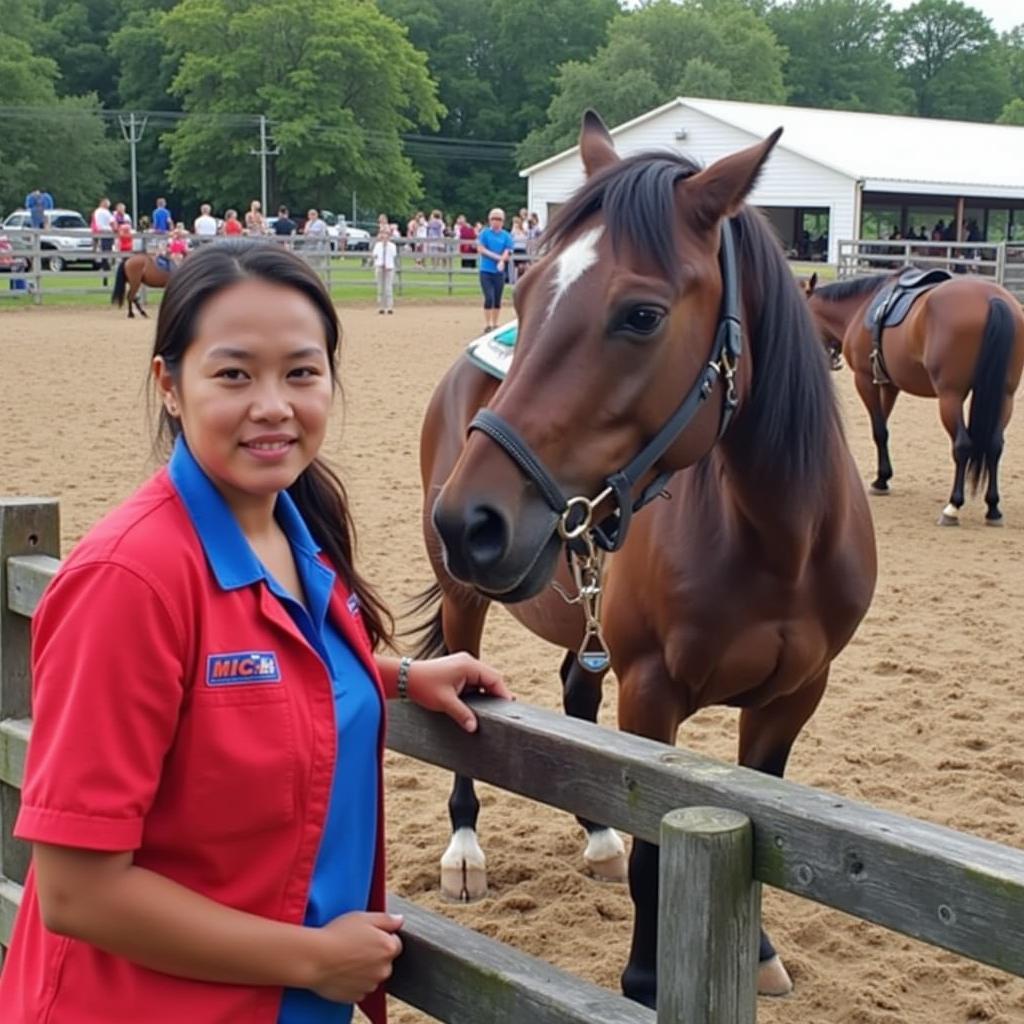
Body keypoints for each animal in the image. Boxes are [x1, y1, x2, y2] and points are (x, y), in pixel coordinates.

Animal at [411, 112, 876, 1007]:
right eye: (525, 288)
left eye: (641, 316)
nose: (468, 518)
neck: (777, 544)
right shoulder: (653, 693)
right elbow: (657, 850)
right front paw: (644, 978)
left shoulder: (795, 696)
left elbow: (766, 822)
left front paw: (758, 950)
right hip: (464, 596)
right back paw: (464, 850)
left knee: (575, 696)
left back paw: (597, 837)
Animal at [802, 270, 1019, 524]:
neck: (859, 307)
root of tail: (992, 298)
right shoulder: (888, 384)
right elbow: (883, 429)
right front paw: (882, 478)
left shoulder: (865, 380)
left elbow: (878, 430)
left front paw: (881, 480)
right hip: (1005, 397)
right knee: (995, 446)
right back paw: (993, 508)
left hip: (950, 396)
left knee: (962, 445)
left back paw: (953, 506)